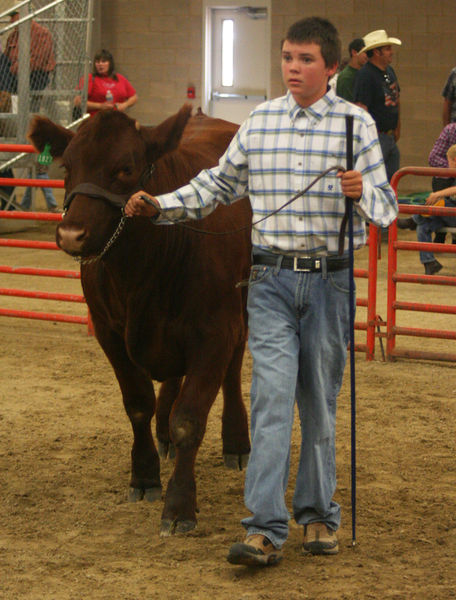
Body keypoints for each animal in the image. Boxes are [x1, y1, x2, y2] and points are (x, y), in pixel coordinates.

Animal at [27, 106, 253, 536]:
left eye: (126, 168)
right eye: (68, 166)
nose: (71, 234)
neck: (141, 274)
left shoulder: (216, 330)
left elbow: (190, 418)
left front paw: (179, 505)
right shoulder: (109, 330)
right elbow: (137, 404)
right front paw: (145, 475)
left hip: (245, 301)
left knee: (233, 371)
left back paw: (236, 442)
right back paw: (163, 437)